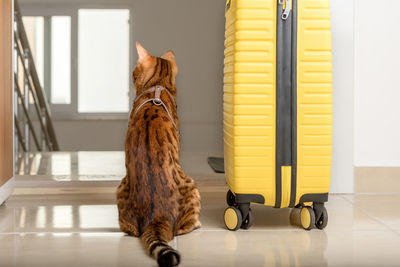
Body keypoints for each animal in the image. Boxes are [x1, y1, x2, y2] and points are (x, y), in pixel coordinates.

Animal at [117, 43, 202, 267]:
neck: (157, 85)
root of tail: (156, 217)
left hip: (120, 187)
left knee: (131, 230)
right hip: (193, 187)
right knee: (181, 229)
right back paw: (196, 225)